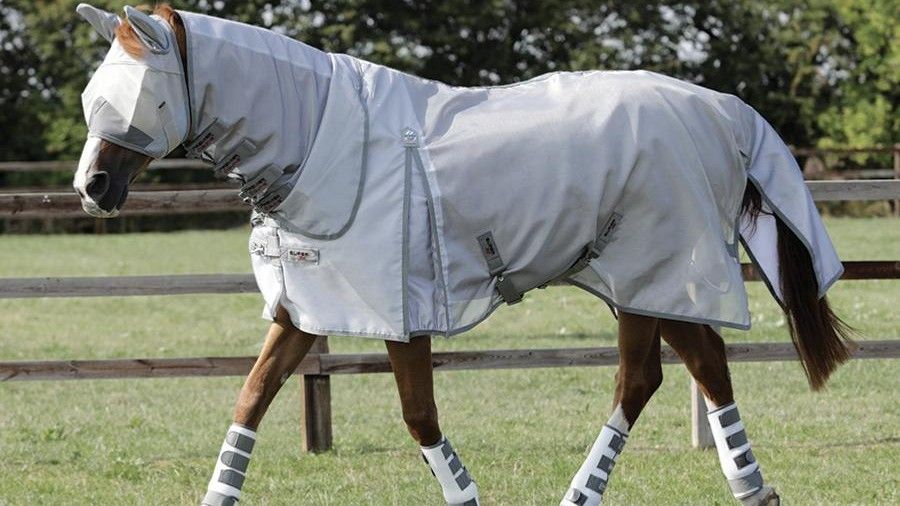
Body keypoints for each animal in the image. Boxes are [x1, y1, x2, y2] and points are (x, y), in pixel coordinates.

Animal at [72, 4, 855, 505]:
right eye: (92, 94)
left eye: (142, 95)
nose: (92, 188)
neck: (323, 141)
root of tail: (719, 109)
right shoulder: (304, 312)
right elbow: (252, 398)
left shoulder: (400, 315)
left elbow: (419, 417)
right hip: (641, 283)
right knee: (674, 374)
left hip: (658, 273)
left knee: (670, 376)